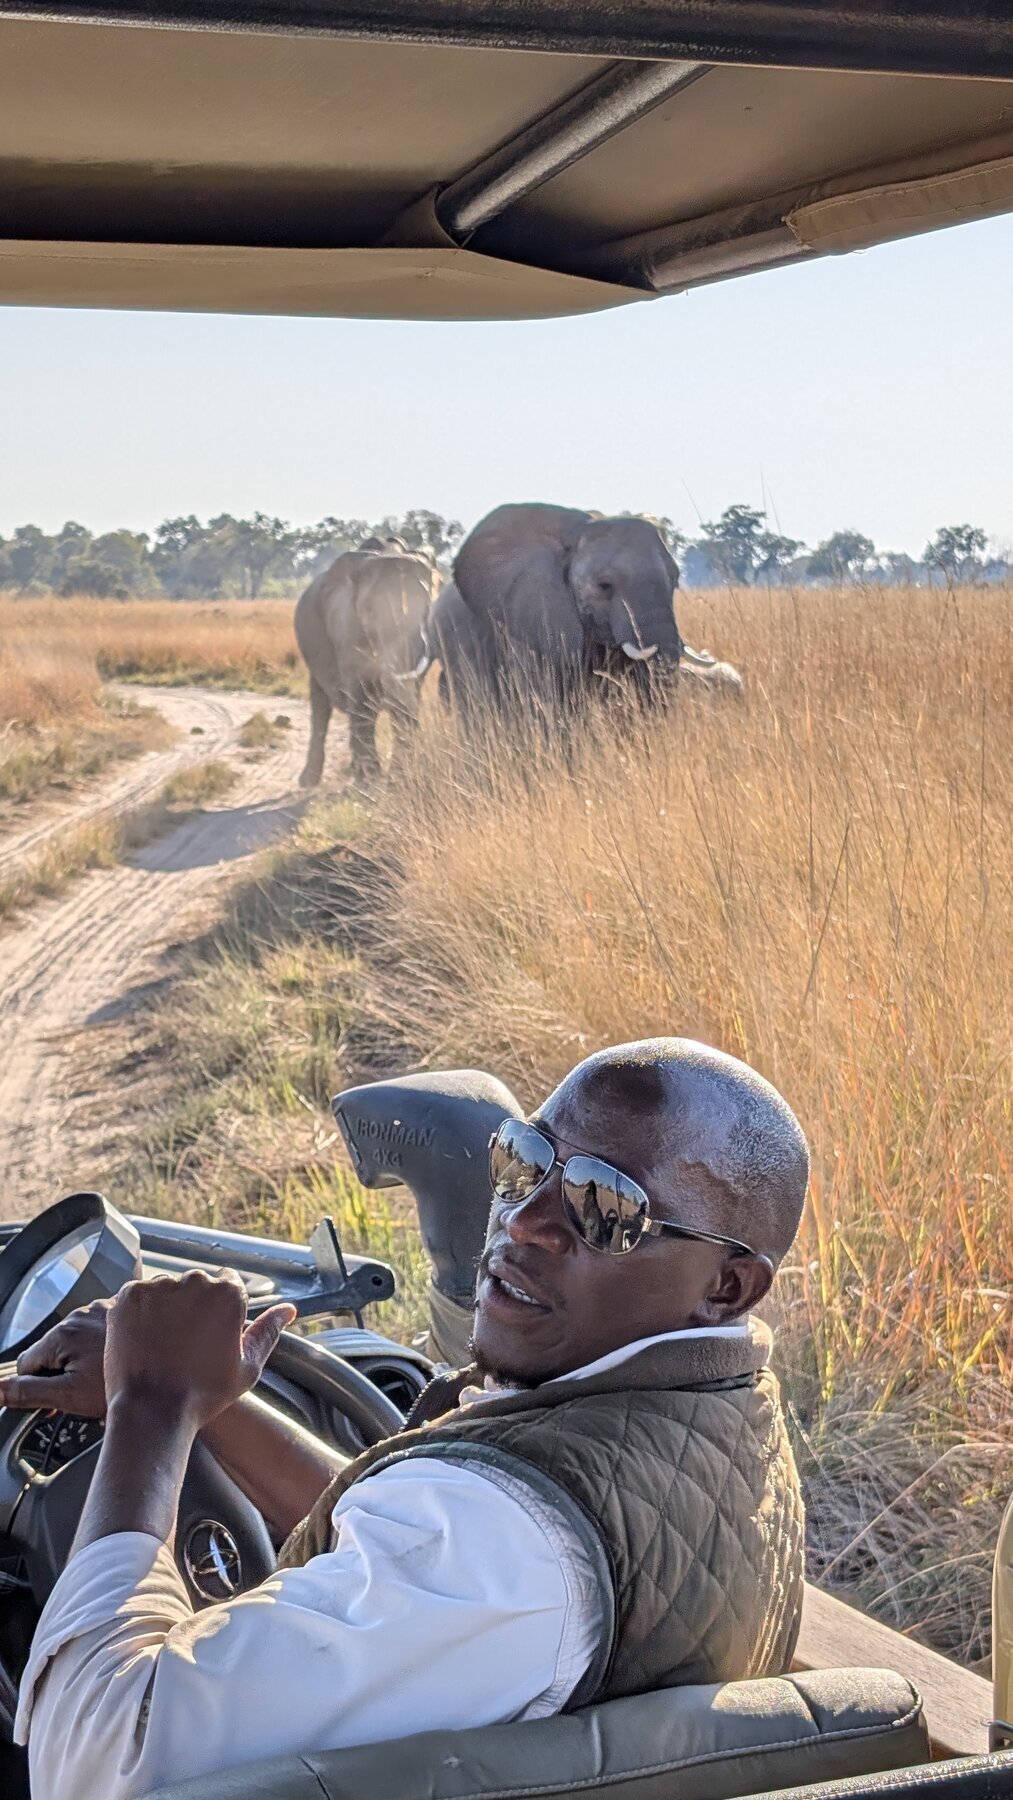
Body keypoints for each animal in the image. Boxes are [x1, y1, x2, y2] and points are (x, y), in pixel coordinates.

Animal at [295, 542, 435, 787]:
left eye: (425, 608)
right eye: (370, 613)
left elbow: (405, 700)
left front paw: (397, 779)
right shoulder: (345, 628)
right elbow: (361, 700)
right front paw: (371, 782)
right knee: (322, 708)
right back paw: (312, 781)